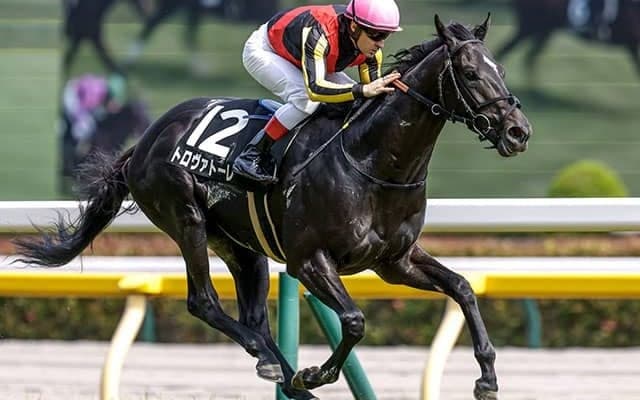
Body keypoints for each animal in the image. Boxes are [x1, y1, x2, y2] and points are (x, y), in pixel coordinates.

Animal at [16, 15, 531, 400]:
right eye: (470, 73)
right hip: (186, 218)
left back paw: (278, 367)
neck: (372, 160)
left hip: (241, 247)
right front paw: (317, 372)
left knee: (254, 317)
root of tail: (142, 143)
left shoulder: (395, 261)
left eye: (501, 70)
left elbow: (463, 288)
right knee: (204, 301)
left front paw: (487, 377)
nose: (518, 131)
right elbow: (354, 320)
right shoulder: (309, 261)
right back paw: (278, 365)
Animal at [495, 0, 640, 77]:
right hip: (529, 27)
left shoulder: (632, 44)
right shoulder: (632, 43)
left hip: (544, 29)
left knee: (529, 56)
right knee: (505, 51)